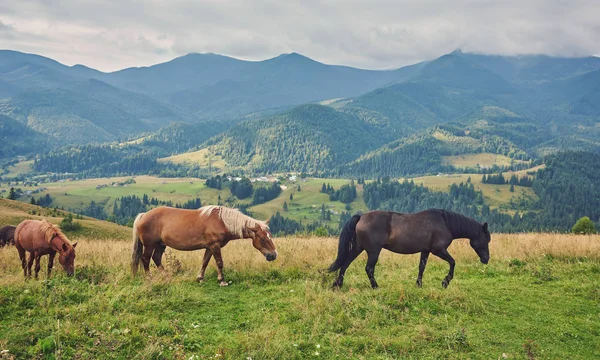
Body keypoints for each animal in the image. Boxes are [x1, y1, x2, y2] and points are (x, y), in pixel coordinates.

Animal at [131, 205, 276, 286]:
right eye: (263, 239)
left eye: (270, 236)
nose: (273, 255)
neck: (222, 221)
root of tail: (143, 215)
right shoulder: (215, 246)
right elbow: (219, 263)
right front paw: (222, 281)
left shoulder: (209, 247)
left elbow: (205, 262)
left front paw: (200, 278)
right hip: (150, 245)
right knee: (145, 259)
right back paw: (149, 278)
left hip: (161, 245)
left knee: (156, 258)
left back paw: (166, 276)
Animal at [328, 208, 492, 290]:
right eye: (486, 239)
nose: (486, 259)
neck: (446, 223)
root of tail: (361, 217)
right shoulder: (439, 250)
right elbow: (453, 262)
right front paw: (445, 282)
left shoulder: (425, 251)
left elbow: (422, 267)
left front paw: (419, 284)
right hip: (373, 251)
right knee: (369, 268)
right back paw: (375, 286)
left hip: (358, 248)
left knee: (345, 263)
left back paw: (338, 284)